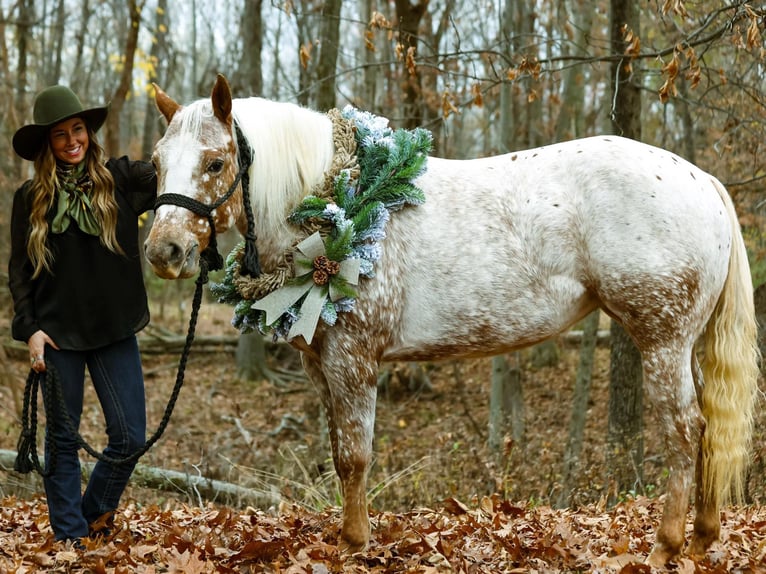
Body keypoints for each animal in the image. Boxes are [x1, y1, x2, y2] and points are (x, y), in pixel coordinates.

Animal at [144, 75, 760, 568]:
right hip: (682, 346)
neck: (330, 201)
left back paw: (667, 545)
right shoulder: (322, 365)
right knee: (708, 426)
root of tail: (703, 181)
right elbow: (340, 452)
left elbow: (354, 455)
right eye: (155, 163)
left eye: (215, 162)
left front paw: (353, 544)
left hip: (662, 342)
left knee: (685, 430)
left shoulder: (353, 361)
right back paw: (702, 537)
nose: (164, 251)